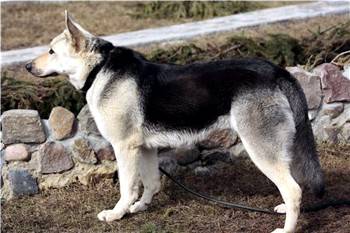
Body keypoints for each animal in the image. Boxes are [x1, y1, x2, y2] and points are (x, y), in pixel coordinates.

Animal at [27, 11, 326, 233]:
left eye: (51, 51)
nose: (27, 67)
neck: (99, 68)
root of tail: (276, 70)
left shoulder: (125, 148)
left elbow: (127, 187)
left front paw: (117, 214)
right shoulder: (145, 149)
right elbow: (151, 183)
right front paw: (141, 207)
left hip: (261, 149)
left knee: (293, 189)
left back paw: (287, 228)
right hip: (279, 149)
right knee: (295, 186)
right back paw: (286, 209)